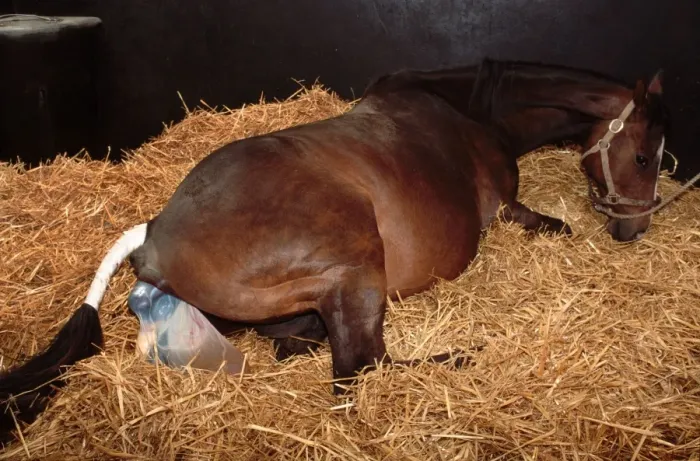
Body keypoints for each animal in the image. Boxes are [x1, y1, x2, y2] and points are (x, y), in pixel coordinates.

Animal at [0, 58, 670, 442]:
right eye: (643, 156)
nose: (634, 228)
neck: (471, 112)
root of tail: (153, 233)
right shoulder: (506, 209)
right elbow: (549, 224)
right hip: (353, 267)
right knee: (361, 364)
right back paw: (458, 359)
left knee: (308, 346)